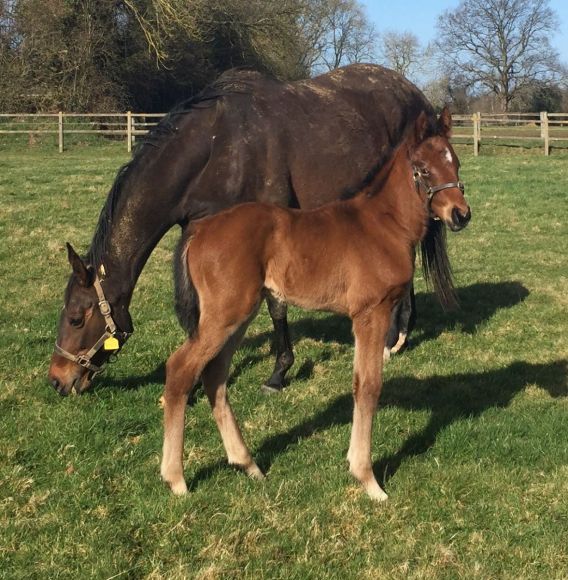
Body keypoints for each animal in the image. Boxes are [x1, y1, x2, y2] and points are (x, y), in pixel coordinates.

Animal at [50, 65, 466, 396]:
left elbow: (276, 304)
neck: (217, 147)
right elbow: (193, 309)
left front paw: (278, 373)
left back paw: (395, 339)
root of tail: (414, 93)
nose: (58, 378)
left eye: (76, 317)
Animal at [161, 110, 470, 502]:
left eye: (455, 162)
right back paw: (176, 478)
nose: (461, 214)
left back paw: (248, 464)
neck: (384, 225)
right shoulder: (370, 314)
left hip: (238, 317)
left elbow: (362, 383)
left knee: (214, 375)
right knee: (180, 370)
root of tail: (200, 230)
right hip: (224, 315)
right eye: (424, 169)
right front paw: (368, 479)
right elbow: (368, 385)